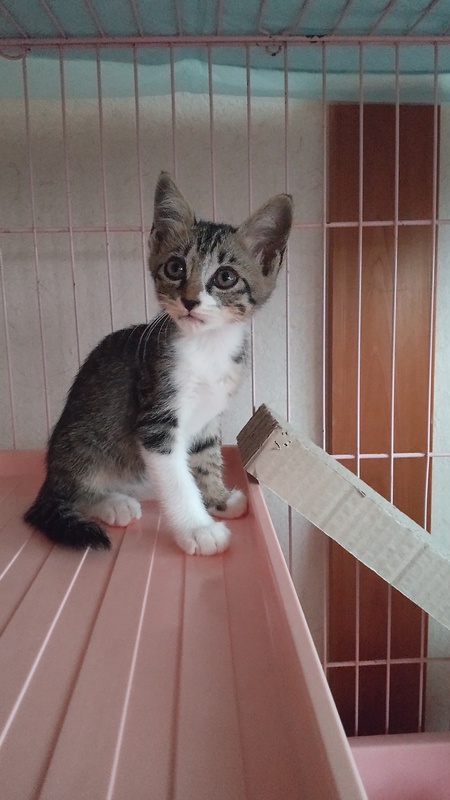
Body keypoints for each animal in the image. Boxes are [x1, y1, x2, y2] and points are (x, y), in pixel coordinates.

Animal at [24, 171, 293, 555]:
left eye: (226, 277)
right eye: (175, 267)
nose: (190, 300)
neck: (207, 346)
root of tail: (50, 476)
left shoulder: (207, 419)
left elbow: (205, 458)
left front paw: (218, 499)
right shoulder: (156, 419)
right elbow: (177, 480)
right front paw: (198, 528)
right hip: (83, 445)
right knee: (75, 492)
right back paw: (111, 503)